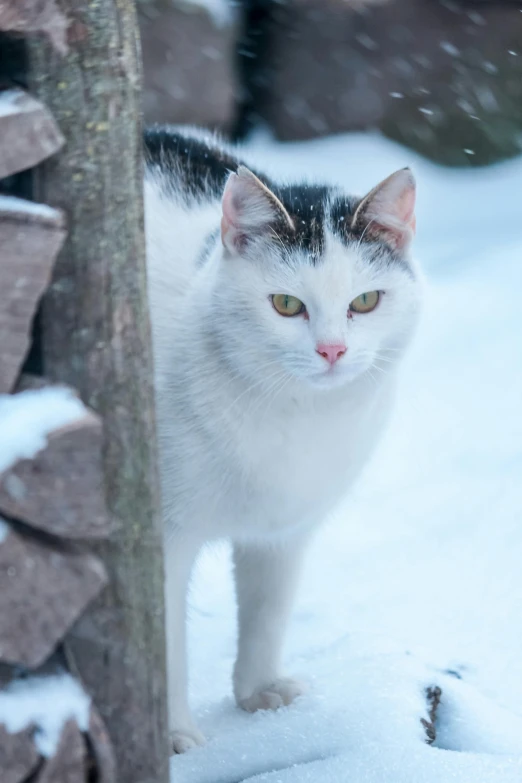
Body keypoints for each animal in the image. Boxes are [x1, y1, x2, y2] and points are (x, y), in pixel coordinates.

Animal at [143, 125, 422, 756]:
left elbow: (268, 610)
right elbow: (163, 640)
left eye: (365, 301)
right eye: (287, 305)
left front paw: (260, 693)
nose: (332, 350)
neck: (296, 417)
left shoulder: (286, 530)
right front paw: (172, 734)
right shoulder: (161, 537)